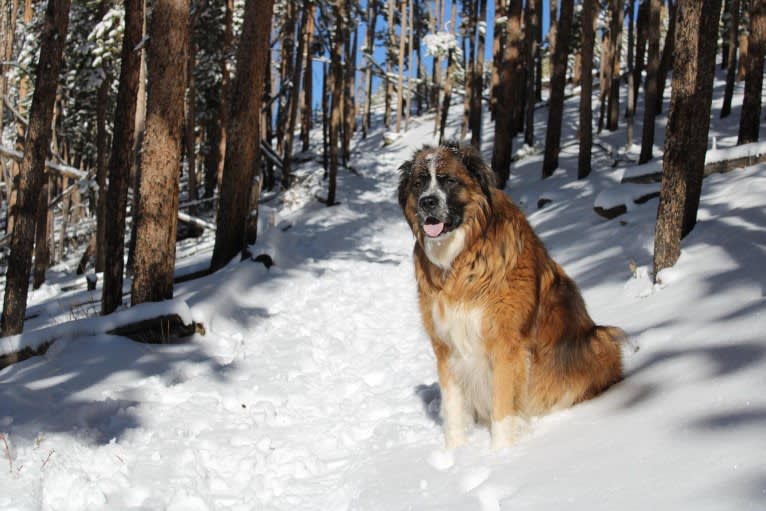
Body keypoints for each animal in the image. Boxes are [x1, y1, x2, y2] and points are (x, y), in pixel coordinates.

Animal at [400, 143, 628, 448]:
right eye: (418, 183)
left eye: (448, 180)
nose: (427, 202)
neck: (460, 257)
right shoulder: (446, 346)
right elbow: (453, 410)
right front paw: (456, 452)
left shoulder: (505, 344)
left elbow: (503, 407)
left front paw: (502, 454)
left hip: (599, 339)